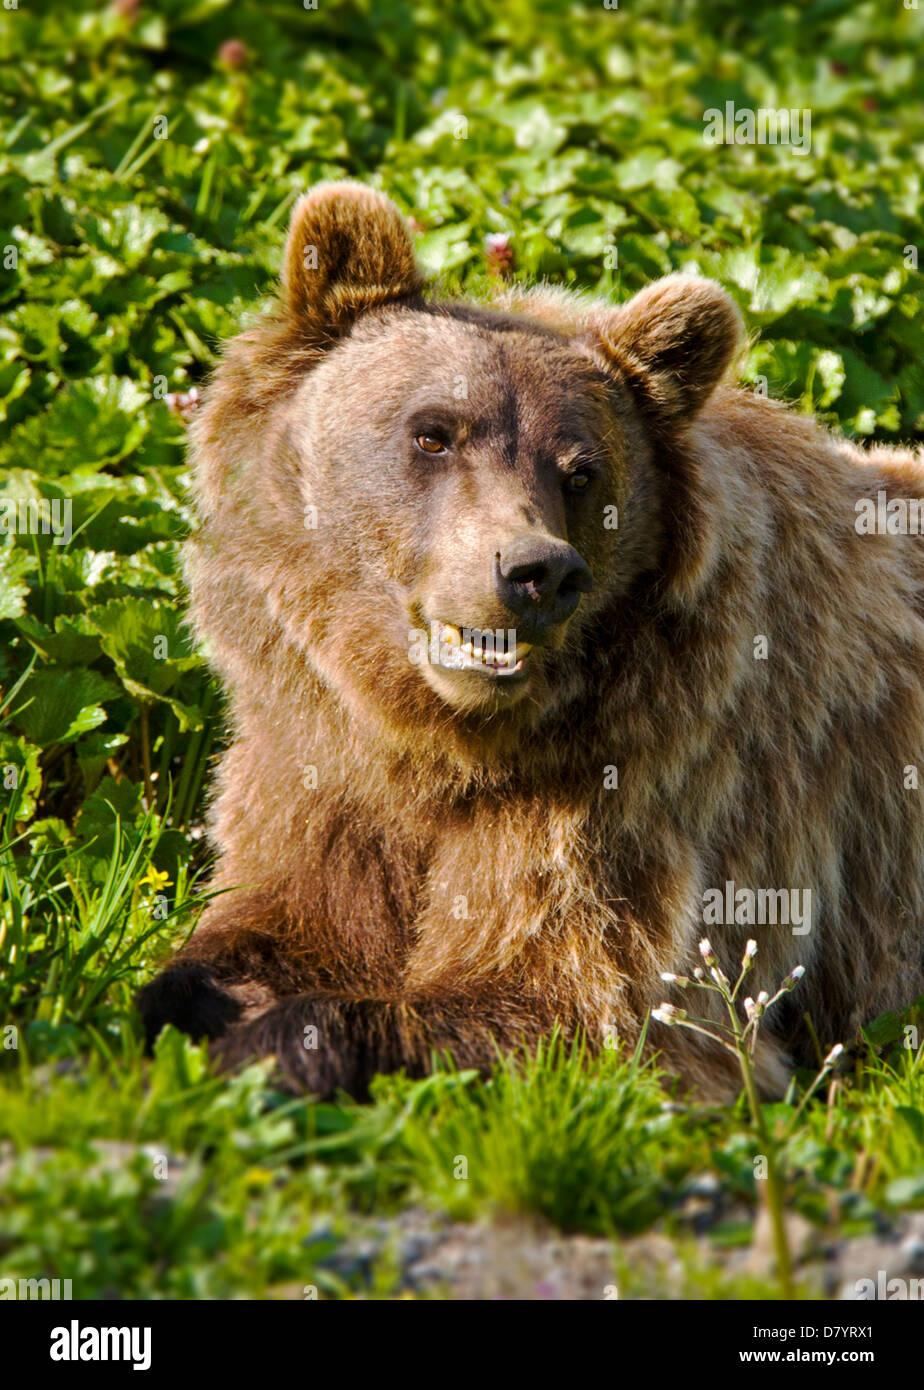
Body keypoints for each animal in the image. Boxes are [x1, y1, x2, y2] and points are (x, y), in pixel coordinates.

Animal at [135, 182, 922, 1095]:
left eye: (580, 472)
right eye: (433, 432)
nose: (536, 571)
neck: (435, 741)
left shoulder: (640, 794)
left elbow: (579, 998)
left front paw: (267, 1044)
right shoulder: (321, 768)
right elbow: (274, 917)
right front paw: (186, 1007)